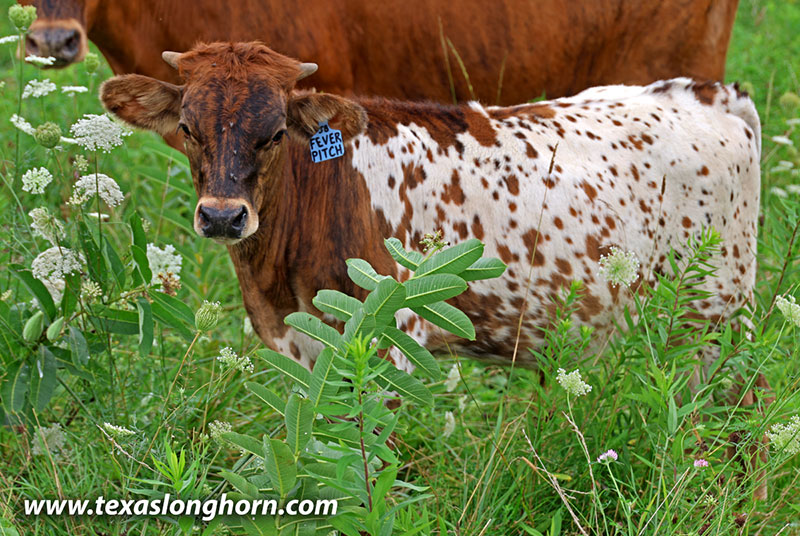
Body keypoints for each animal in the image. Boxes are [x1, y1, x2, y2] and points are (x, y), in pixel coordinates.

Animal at [100, 42, 762, 377]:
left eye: (275, 133)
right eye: (188, 128)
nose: (222, 217)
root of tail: (708, 93)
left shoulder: (389, 342)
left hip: (717, 322)